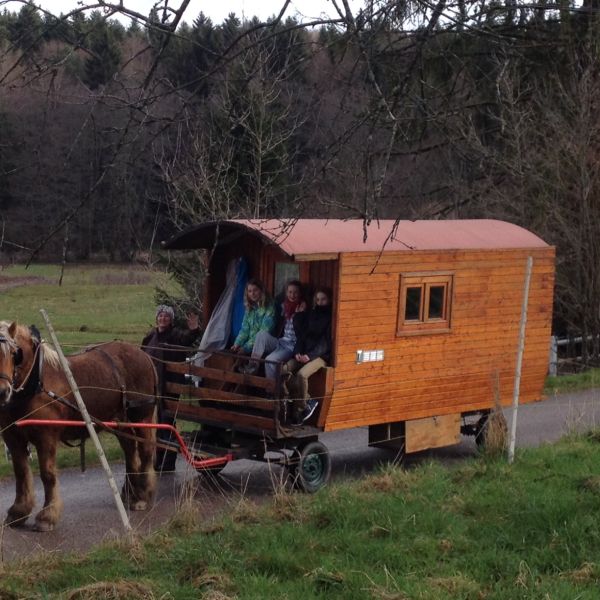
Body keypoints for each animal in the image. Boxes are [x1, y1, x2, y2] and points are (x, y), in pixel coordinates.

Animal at [0, 322, 157, 532]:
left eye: (13, 353)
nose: (2, 391)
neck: (36, 381)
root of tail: (143, 354)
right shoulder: (12, 436)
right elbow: (21, 472)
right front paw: (18, 512)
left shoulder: (45, 436)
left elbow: (47, 474)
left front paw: (48, 515)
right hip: (120, 420)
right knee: (130, 451)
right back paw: (130, 493)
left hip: (142, 417)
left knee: (146, 450)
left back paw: (142, 496)